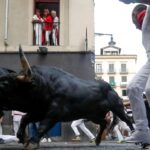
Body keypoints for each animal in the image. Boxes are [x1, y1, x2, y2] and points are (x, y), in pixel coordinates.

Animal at [0, 46, 134, 149]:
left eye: (5, 83)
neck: (45, 84)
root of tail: (111, 89)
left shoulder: (55, 112)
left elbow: (43, 125)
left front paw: (32, 142)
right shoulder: (39, 111)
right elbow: (25, 119)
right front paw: (22, 138)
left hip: (117, 108)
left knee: (127, 119)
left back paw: (133, 134)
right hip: (93, 115)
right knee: (104, 122)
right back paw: (97, 140)